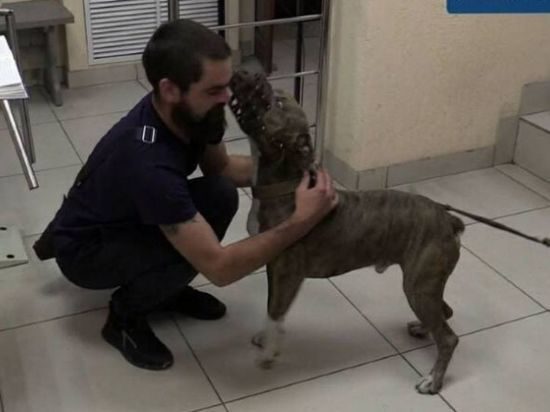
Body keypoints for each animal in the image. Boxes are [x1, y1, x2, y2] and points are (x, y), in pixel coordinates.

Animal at [228, 70, 550, 394]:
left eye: (277, 102)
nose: (248, 72)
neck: (287, 182)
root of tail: (448, 219)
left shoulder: (288, 273)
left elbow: (276, 311)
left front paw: (268, 352)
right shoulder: (274, 267)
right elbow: (272, 308)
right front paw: (265, 337)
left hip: (418, 285)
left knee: (448, 337)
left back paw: (433, 380)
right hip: (425, 286)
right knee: (444, 313)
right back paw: (422, 329)